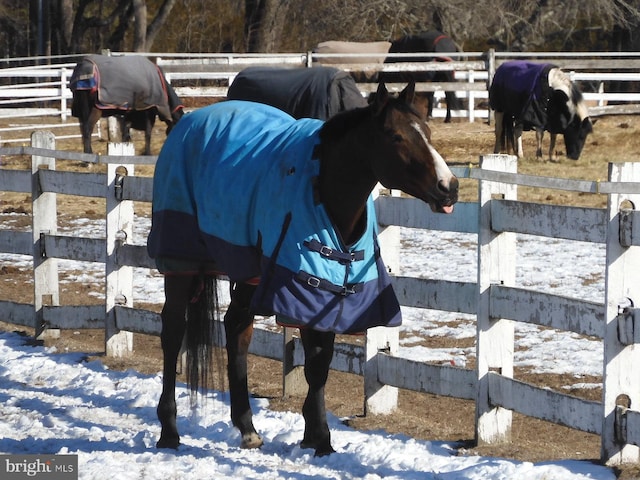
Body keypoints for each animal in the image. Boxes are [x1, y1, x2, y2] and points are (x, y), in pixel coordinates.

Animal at [149, 82, 460, 458]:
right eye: (396, 136)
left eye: (427, 132)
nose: (449, 187)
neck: (323, 188)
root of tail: (186, 124)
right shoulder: (306, 288)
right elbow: (314, 364)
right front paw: (321, 438)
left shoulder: (328, 291)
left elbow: (320, 364)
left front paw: (315, 434)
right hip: (181, 261)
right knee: (172, 334)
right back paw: (169, 430)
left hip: (251, 272)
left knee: (236, 330)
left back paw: (247, 427)